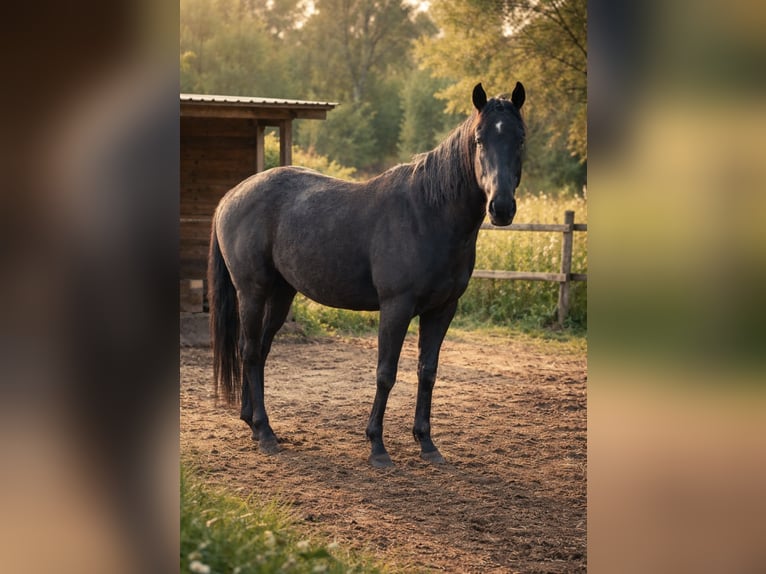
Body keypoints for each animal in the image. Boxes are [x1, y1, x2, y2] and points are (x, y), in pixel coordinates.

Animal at [208, 82, 526, 467]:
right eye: (479, 139)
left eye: (520, 138)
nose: (501, 207)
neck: (428, 214)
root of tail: (231, 196)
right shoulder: (396, 307)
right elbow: (386, 373)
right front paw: (377, 446)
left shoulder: (443, 310)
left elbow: (428, 372)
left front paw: (427, 443)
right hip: (252, 291)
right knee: (251, 350)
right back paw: (266, 432)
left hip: (281, 294)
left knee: (258, 350)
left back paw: (253, 423)